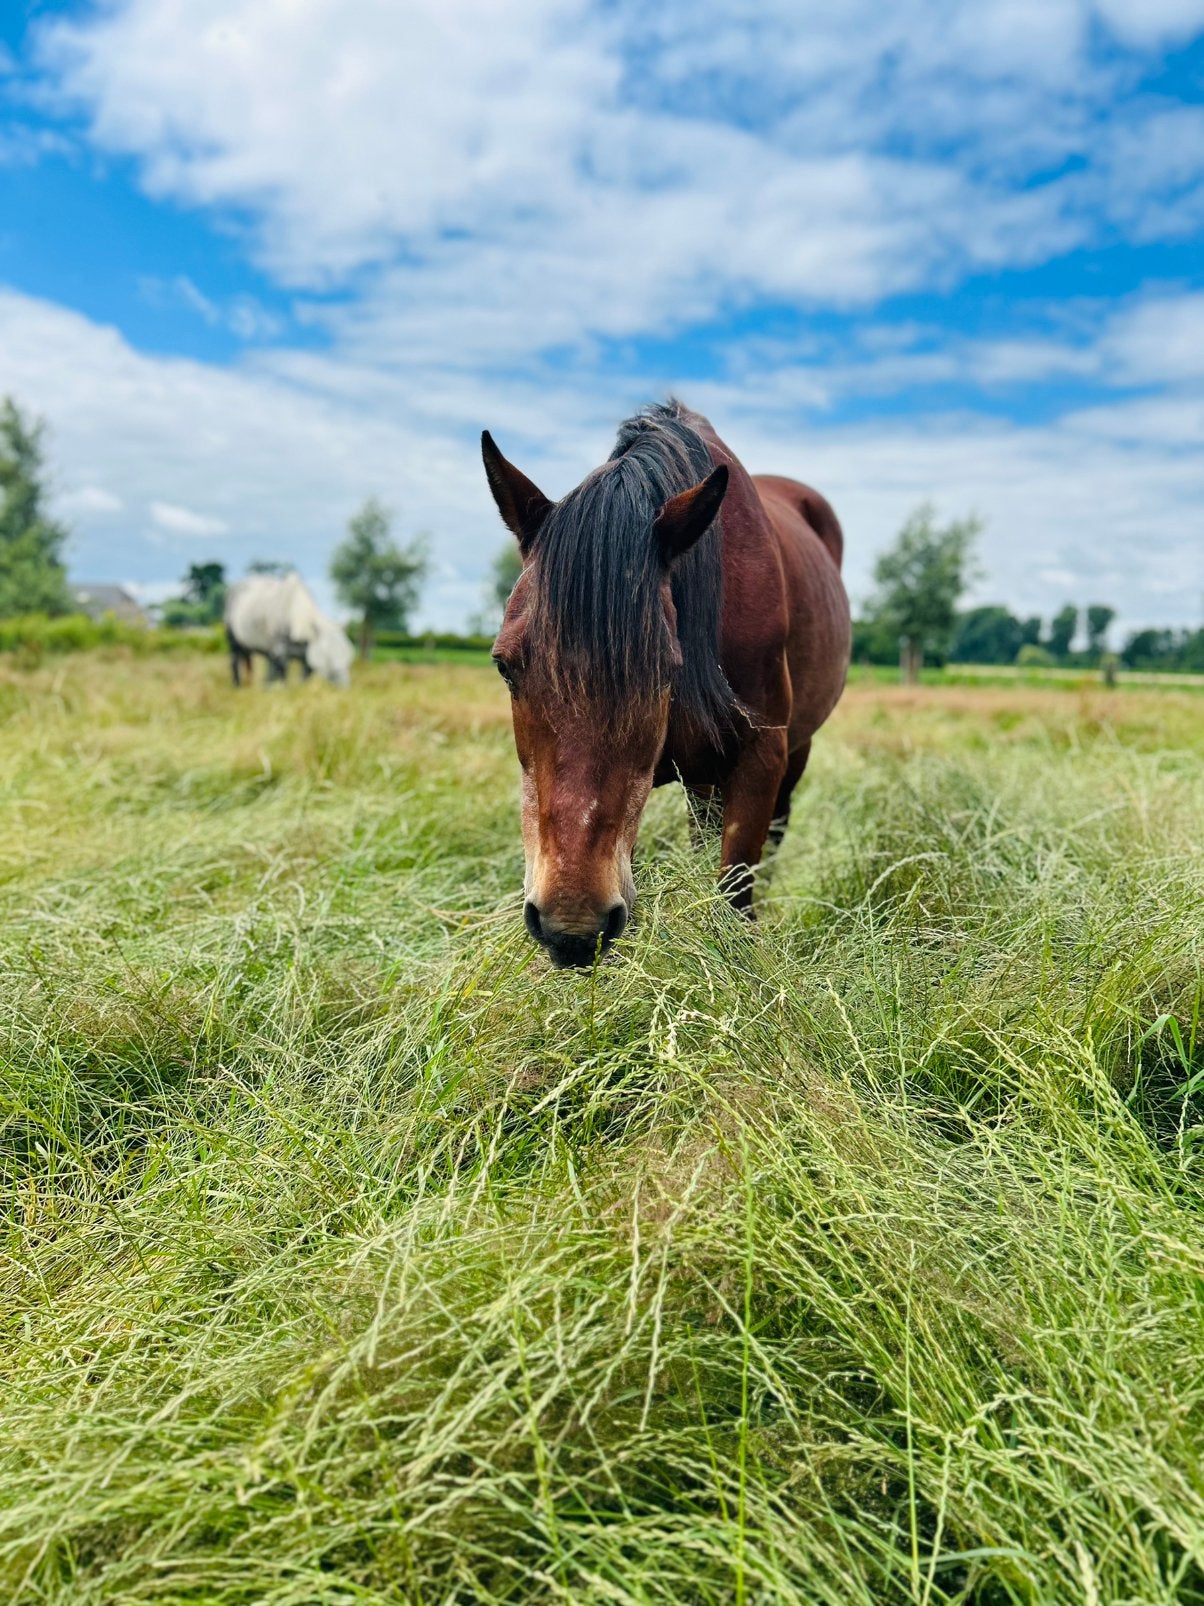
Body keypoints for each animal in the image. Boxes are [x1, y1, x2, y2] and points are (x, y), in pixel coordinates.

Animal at [223, 574, 353, 688]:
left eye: (348, 653)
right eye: (328, 656)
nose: (344, 684)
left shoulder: (305, 655)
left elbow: (304, 674)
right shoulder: (280, 650)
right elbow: (282, 670)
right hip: (233, 639)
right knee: (234, 661)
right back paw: (237, 686)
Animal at [482, 399, 850, 968]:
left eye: (665, 669)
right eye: (504, 666)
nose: (571, 926)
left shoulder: (762, 760)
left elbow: (736, 891)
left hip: (795, 754)